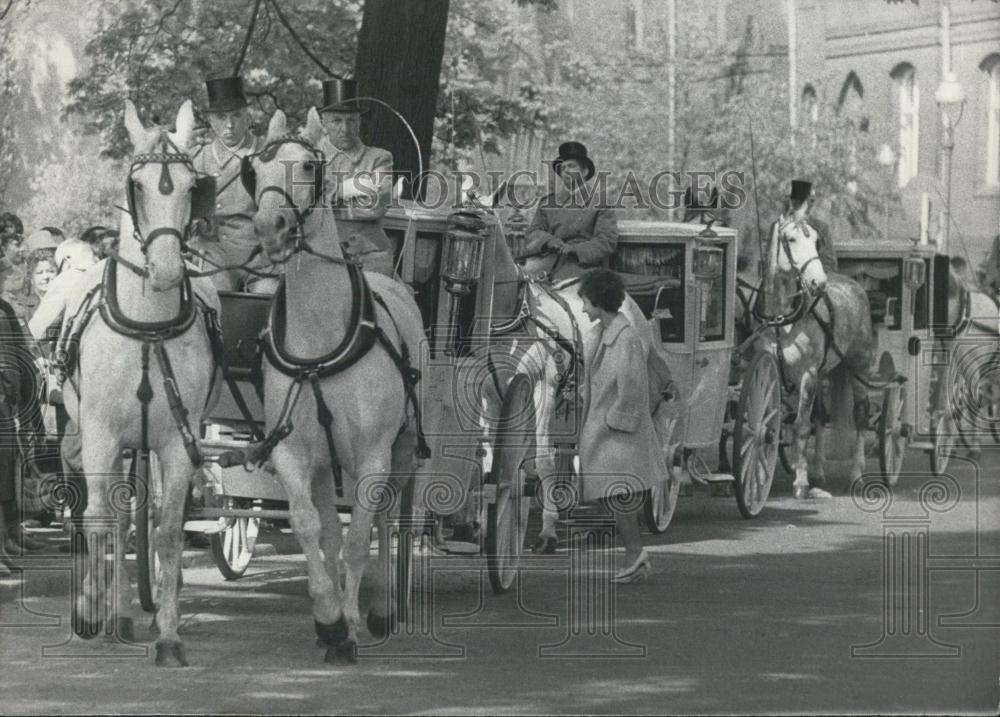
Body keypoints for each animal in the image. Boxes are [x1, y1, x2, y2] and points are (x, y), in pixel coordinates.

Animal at [65, 100, 219, 664]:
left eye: (192, 185)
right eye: (137, 184)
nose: (169, 270)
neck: (148, 327)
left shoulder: (177, 441)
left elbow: (169, 531)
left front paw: (169, 634)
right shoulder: (101, 435)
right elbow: (100, 522)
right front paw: (94, 611)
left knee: (138, 522)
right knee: (109, 518)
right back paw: (111, 610)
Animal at [246, 106, 430, 660]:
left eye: (309, 165)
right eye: (253, 169)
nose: (270, 227)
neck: (320, 337)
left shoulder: (372, 454)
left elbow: (359, 537)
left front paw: (350, 620)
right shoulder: (291, 451)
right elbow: (312, 527)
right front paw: (328, 619)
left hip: (402, 449)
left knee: (389, 518)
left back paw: (383, 607)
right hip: (327, 463)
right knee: (330, 523)